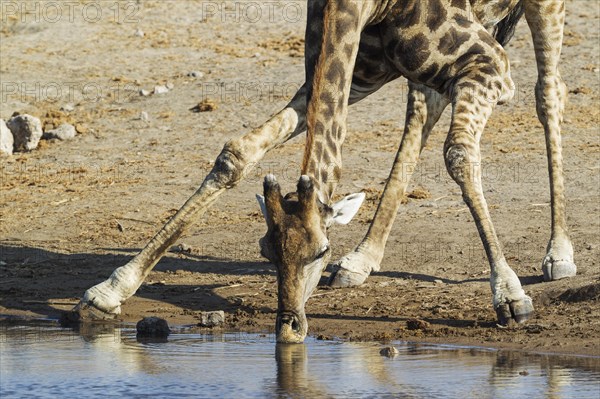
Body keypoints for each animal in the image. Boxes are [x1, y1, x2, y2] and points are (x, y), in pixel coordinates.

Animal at [72, 0, 576, 344]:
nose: (289, 329)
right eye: (267, 253)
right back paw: (363, 259)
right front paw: (109, 291)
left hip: (539, 10)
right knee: (423, 106)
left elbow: (459, 154)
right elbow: (237, 154)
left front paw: (510, 297)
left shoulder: (488, 66)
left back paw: (558, 253)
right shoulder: (353, 75)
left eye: (320, 251)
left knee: (548, 93)